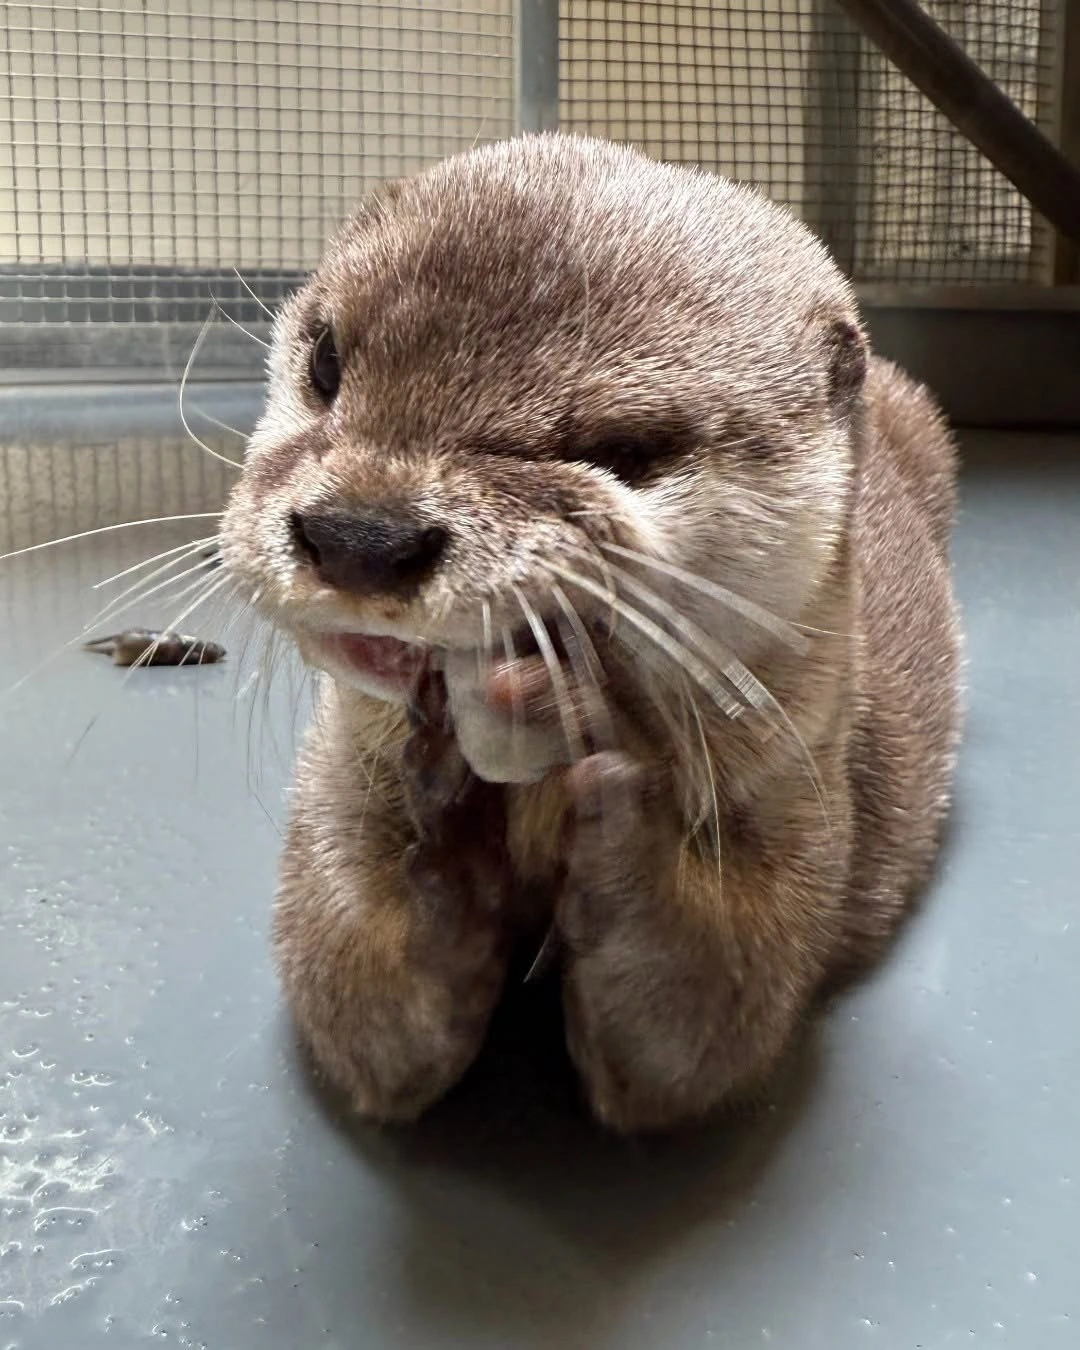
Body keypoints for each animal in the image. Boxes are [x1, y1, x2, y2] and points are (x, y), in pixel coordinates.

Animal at [220, 133, 961, 1133]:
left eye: (624, 449)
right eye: (328, 361)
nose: (360, 537)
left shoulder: (809, 778)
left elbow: (703, 1019)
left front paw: (582, 736)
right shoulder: (338, 777)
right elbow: (348, 985)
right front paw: (451, 829)